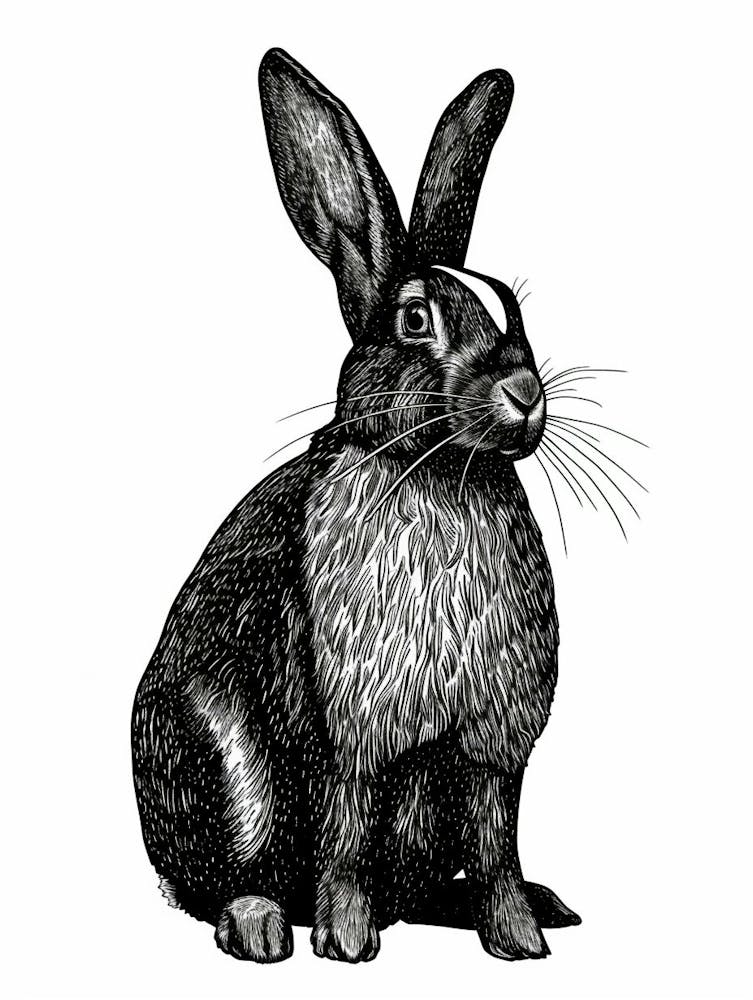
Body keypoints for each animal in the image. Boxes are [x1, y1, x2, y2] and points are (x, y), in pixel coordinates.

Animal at [132, 47, 581, 964]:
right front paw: (345, 943)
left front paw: (519, 942)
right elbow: (343, 833)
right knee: (216, 881)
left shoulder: (491, 751)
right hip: (217, 768)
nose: (524, 393)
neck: (437, 472)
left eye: (515, 311)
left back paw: (538, 904)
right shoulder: (343, 736)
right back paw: (262, 925)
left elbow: (496, 841)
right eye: (414, 320)